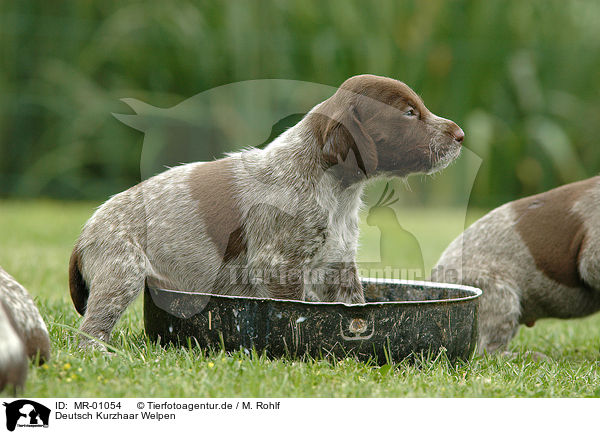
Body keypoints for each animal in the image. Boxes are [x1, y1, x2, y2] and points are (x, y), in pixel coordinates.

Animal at [70, 73, 464, 346]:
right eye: (409, 113)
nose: (460, 135)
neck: (333, 189)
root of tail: (85, 234)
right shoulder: (279, 267)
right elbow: (294, 317)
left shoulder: (338, 266)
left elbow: (352, 306)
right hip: (122, 271)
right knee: (90, 330)